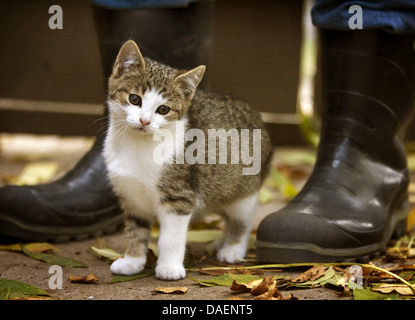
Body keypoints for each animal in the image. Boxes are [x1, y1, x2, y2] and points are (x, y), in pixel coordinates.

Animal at [103, 40, 272, 280]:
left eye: (163, 109)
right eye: (134, 99)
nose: (145, 121)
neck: (138, 145)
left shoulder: (179, 196)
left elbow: (171, 237)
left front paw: (169, 267)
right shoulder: (132, 198)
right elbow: (135, 231)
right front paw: (132, 261)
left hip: (243, 190)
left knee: (242, 219)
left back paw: (233, 248)